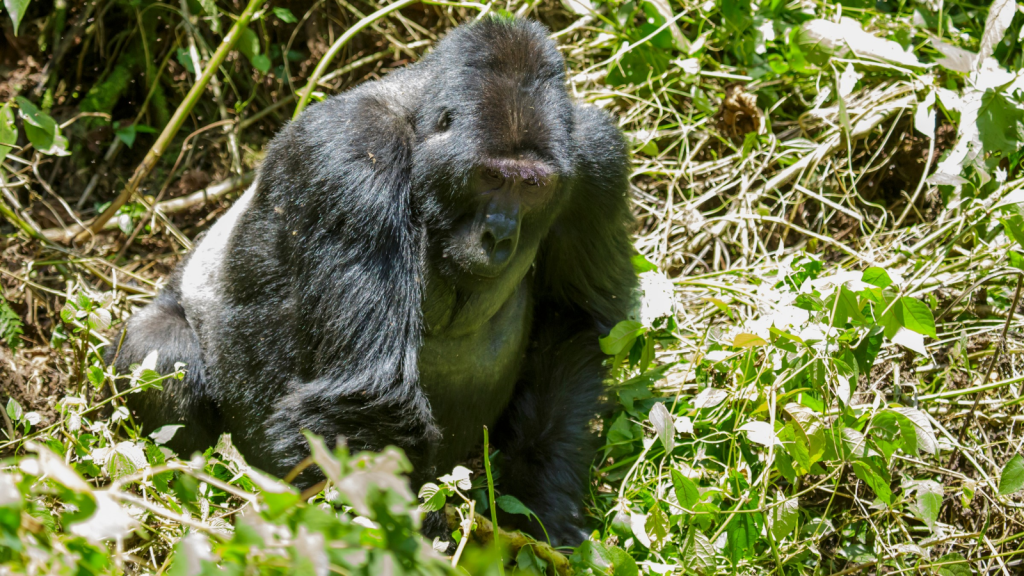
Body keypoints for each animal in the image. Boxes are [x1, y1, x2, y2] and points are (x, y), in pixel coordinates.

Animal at [114, 14, 638, 541]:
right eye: (490, 176)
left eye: (532, 185)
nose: (500, 236)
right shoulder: (353, 156)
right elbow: (369, 398)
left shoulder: (597, 161)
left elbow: (572, 321)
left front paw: (539, 503)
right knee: (164, 353)